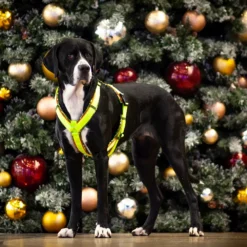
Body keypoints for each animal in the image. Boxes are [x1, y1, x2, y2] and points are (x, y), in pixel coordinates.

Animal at [42, 39, 204, 239]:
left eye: (88, 55)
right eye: (70, 56)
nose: (85, 68)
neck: (76, 99)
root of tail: (170, 96)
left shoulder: (101, 156)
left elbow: (102, 196)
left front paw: (102, 228)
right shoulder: (71, 157)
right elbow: (76, 197)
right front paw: (70, 229)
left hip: (174, 150)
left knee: (191, 194)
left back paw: (195, 227)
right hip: (142, 156)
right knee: (156, 196)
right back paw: (145, 229)